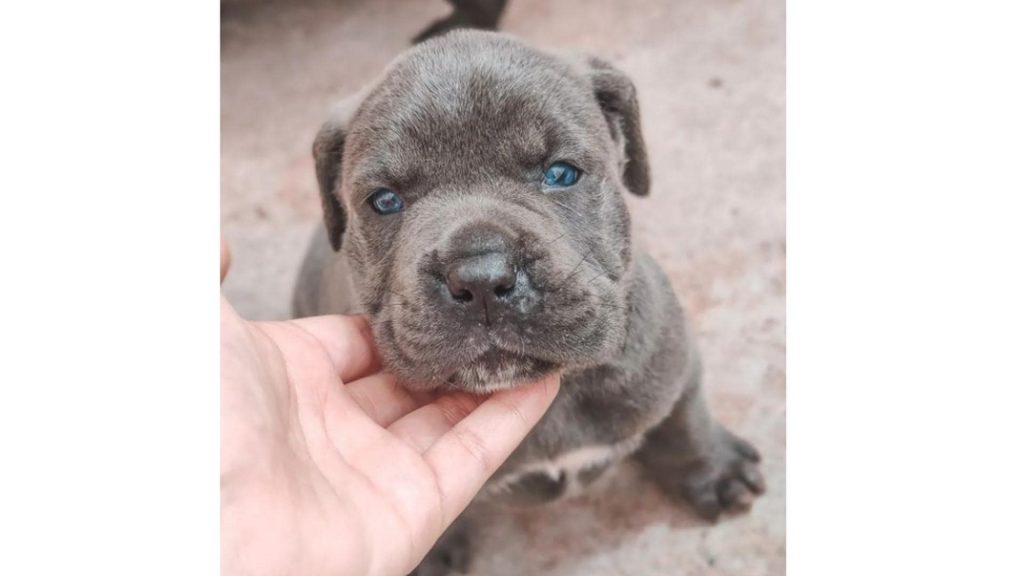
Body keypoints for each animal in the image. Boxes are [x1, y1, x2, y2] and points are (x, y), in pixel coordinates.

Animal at [292, 30, 765, 573]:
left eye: (561, 174)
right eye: (385, 201)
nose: (479, 275)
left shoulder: (673, 361)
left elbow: (686, 423)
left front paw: (717, 471)